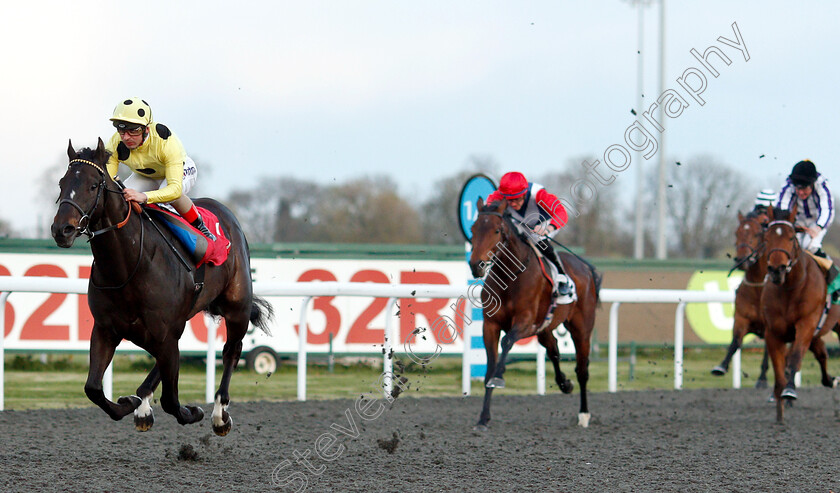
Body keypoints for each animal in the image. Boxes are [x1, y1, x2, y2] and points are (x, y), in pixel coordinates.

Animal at [470, 198, 600, 428]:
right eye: (473, 229)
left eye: (496, 230)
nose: (476, 265)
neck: (510, 278)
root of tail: (586, 267)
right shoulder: (490, 325)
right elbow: (489, 368)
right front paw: (483, 418)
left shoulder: (526, 322)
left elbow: (507, 342)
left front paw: (499, 376)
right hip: (545, 327)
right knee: (554, 349)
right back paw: (564, 384)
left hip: (581, 328)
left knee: (582, 369)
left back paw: (584, 414)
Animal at [756, 206, 836, 420]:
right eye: (766, 237)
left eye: (791, 237)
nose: (777, 269)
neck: (789, 289)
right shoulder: (773, 332)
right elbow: (778, 368)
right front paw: (779, 408)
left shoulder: (806, 324)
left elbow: (795, 357)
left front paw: (790, 391)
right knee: (822, 353)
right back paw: (829, 380)